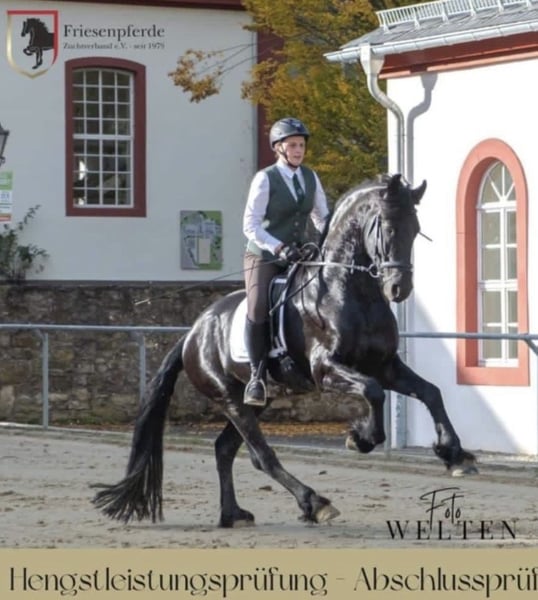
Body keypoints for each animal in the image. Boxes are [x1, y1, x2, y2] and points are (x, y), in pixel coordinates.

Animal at [92, 173, 477, 528]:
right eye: (386, 227)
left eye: (415, 229)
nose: (399, 288)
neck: (350, 290)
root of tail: (193, 332)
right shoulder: (327, 369)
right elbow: (373, 392)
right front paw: (361, 438)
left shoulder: (385, 365)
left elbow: (431, 392)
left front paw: (455, 454)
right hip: (229, 398)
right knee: (261, 455)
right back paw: (313, 502)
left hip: (256, 402)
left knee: (224, 449)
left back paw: (233, 514)